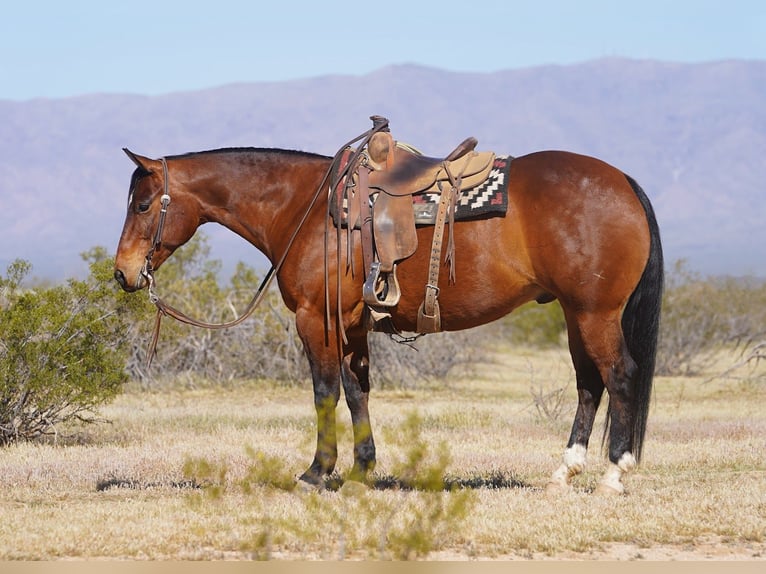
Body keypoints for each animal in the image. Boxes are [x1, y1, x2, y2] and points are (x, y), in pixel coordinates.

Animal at [113, 131, 663, 495]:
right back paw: (566, 470)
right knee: (589, 384)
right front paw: (361, 470)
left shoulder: (316, 319)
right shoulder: (352, 324)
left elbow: (325, 391)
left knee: (619, 375)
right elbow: (358, 391)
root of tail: (624, 182)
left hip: (595, 313)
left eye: (142, 205)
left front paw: (317, 472)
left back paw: (615, 473)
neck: (306, 208)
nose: (123, 273)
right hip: (575, 314)